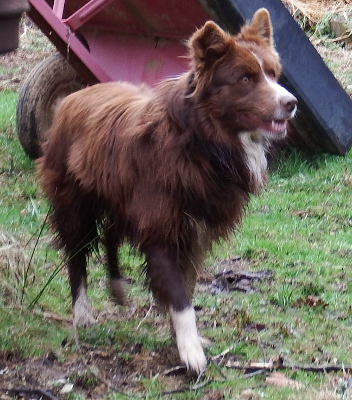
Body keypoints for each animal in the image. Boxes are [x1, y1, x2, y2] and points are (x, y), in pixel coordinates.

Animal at [37, 7, 296, 374]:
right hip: (75, 203)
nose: (292, 102)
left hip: (118, 196)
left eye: (273, 74)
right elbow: (181, 299)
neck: (201, 142)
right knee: (77, 255)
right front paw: (191, 352)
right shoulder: (161, 228)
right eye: (245, 79)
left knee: (111, 234)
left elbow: (184, 287)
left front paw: (183, 340)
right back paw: (83, 314)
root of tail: (74, 97)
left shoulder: (194, 232)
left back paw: (116, 286)